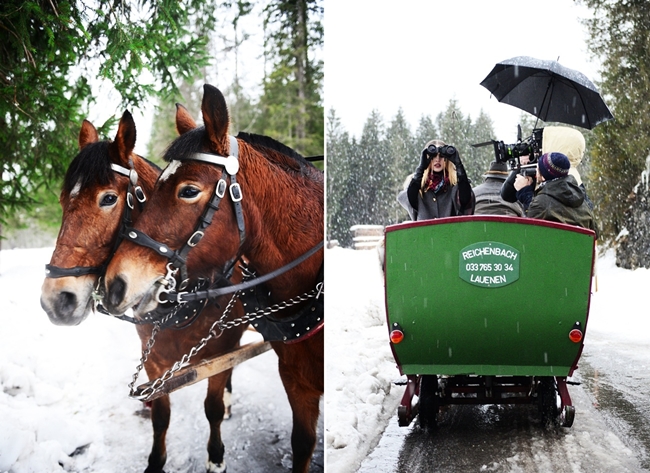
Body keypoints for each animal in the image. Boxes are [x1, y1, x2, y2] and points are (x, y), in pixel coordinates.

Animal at [39, 111, 246, 473]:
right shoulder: (153, 358)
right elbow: (160, 414)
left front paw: (216, 457)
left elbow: (213, 408)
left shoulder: (221, 349)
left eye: (108, 198)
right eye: (64, 201)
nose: (56, 300)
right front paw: (155, 461)